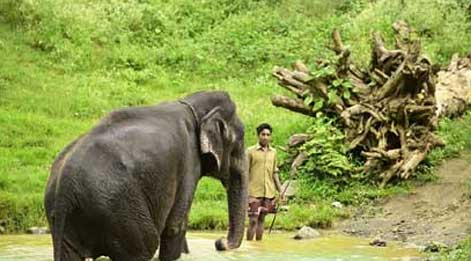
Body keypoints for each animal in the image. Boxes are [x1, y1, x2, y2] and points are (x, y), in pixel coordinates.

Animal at [43, 91, 249, 260]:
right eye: (240, 142)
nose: (219, 242)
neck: (193, 104)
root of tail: (64, 187)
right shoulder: (189, 161)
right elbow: (175, 226)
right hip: (119, 209)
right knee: (143, 246)